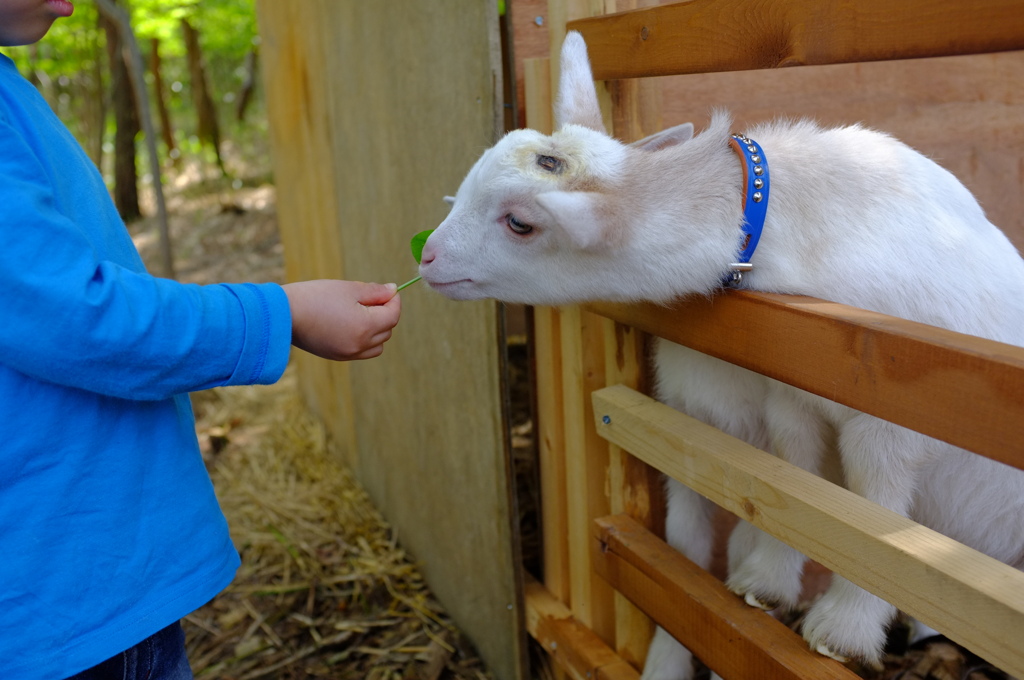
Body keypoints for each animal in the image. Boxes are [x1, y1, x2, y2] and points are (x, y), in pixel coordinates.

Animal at [415, 30, 1024, 680]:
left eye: (521, 224)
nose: (426, 258)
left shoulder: (892, 415)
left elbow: (875, 517)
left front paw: (842, 632)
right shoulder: (787, 396)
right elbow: (792, 487)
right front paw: (762, 587)